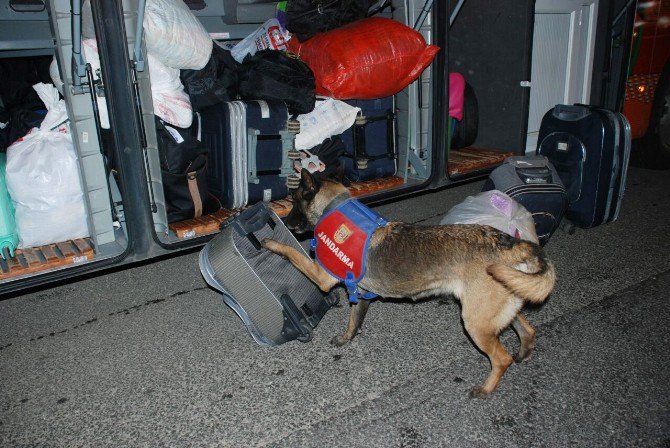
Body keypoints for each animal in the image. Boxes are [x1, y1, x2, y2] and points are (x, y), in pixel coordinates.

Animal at [262, 170, 556, 398]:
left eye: (294, 201)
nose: (286, 221)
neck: (334, 206)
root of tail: (512, 244)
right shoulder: (361, 293)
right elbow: (354, 321)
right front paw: (346, 338)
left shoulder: (321, 277)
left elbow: (293, 253)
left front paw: (272, 243)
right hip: (497, 306)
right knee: (527, 329)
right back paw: (524, 352)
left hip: (475, 322)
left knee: (501, 359)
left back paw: (486, 389)